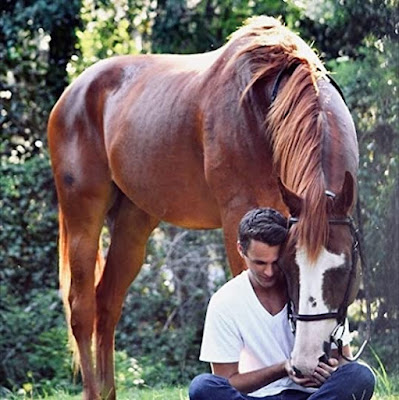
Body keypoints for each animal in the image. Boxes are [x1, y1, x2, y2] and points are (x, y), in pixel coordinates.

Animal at [48, 15, 360, 400]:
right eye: (288, 268)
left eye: (345, 270)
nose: (308, 360)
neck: (265, 109)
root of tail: (74, 91)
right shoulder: (237, 215)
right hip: (82, 216)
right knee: (82, 309)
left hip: (134, 222)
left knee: (107, 304)